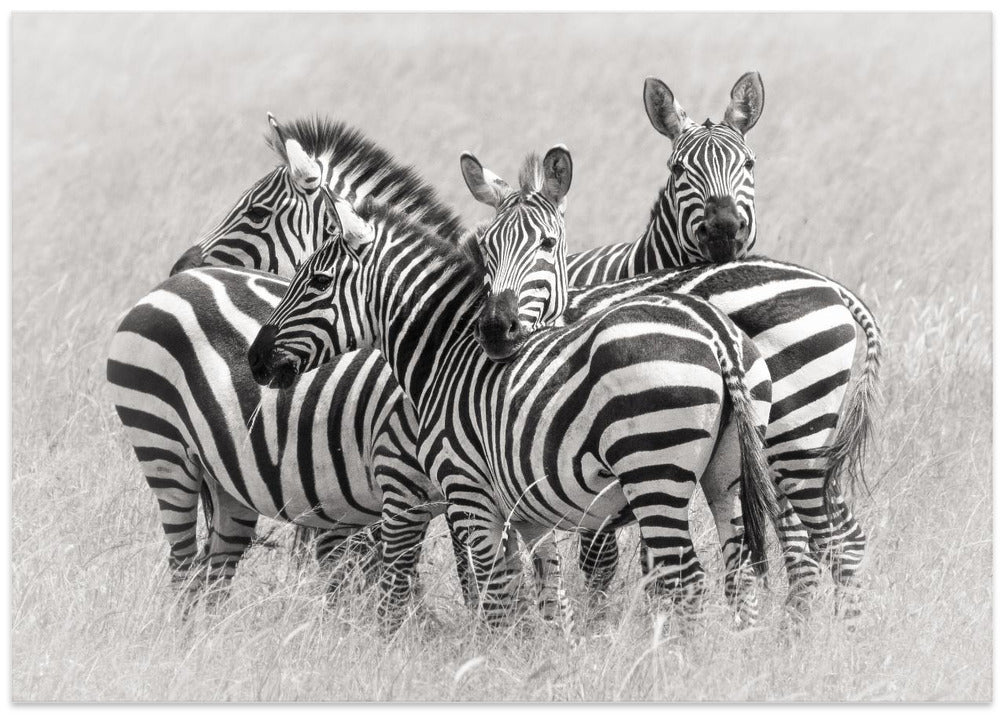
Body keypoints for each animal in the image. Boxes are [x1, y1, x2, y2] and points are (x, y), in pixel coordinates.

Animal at [247, 189, 780, 627]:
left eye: (317, 281)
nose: (254, 359)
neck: (446, 355)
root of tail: (715, 332)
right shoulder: (528, 512)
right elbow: (546, 598)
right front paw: (547, 663)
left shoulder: (469, 494)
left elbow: (497, 598)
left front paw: (495, 664)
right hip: (726, 478)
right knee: (738, 576)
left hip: (654, 473)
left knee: (686, 580)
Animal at [458, 76, 883, 614]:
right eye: (678, 169)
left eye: (749, 164)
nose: (724, 229)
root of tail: (833, 288)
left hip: (792, 438)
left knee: (822, 538)